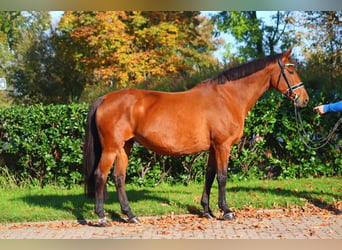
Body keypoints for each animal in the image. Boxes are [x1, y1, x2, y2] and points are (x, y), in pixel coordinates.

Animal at [83, 47, 310, 226]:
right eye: (291, 70)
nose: (305, 100)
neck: (227, 97)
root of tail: (104, 98)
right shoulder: (223, 146)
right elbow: (222, 177)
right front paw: (226, 211)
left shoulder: (213, 148)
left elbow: (209, 176)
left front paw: (207, 211)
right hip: (111, 148)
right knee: (100, 176)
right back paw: (101, 217)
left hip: (125, 146)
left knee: (119, 178)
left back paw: (130, 215)